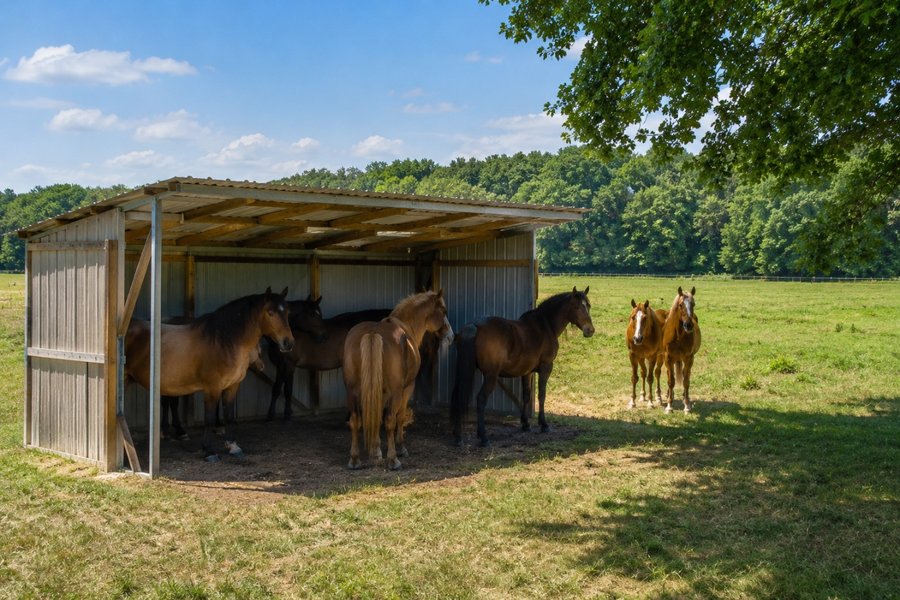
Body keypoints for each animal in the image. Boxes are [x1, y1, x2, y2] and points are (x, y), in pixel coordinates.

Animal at [125, 287, 295, 461]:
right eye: (270, 312)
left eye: (288, 312)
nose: (288, 343)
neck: (223, 341)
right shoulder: (212, 388)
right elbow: (209, 418)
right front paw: (209, 451)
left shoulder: (232, 386)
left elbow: (229, 415)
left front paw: (233, 446)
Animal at [343, 290, 453, 470]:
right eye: (443, 311)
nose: (451, 336)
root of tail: (373, 333)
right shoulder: (407, 388)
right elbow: (399, 417)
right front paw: (400, 448)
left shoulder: (379, 392)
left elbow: (376, 417)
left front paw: (376, 451)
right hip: (395, 393)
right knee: (390, 420)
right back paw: (394, 459)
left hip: (352, 392)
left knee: (355, 420)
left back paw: (354, 459)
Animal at [450, 286, 595, 447]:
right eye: (576, 307)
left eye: (588, 306)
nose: (590, 330)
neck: (546, 326)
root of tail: (474, 326)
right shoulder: (546, 367)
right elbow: (541, 395)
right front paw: (544, 425)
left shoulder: (527, 372)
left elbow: (526, 395)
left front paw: (525, 424)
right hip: (491, 375)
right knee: (481, 399)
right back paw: (483, 437)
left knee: (458, 395)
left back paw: (458, 437)